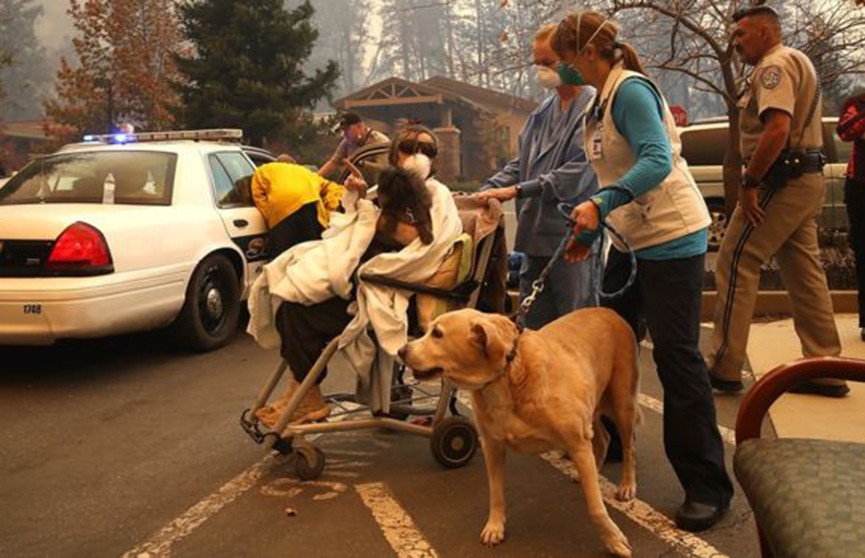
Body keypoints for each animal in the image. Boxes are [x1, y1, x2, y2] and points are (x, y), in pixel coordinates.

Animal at [402, 308, 636, 556]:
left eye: (437, 334)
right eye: (426, 330)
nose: (400, 350)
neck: (508, 375)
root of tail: (608, 311)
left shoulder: (578, 443)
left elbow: (596, 506)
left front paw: (612, 539)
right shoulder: (492, 446)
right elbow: (496, 493)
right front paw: (495, 525)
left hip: (622, 404)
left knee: (629, 447)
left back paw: (627, 485)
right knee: (604, 438)